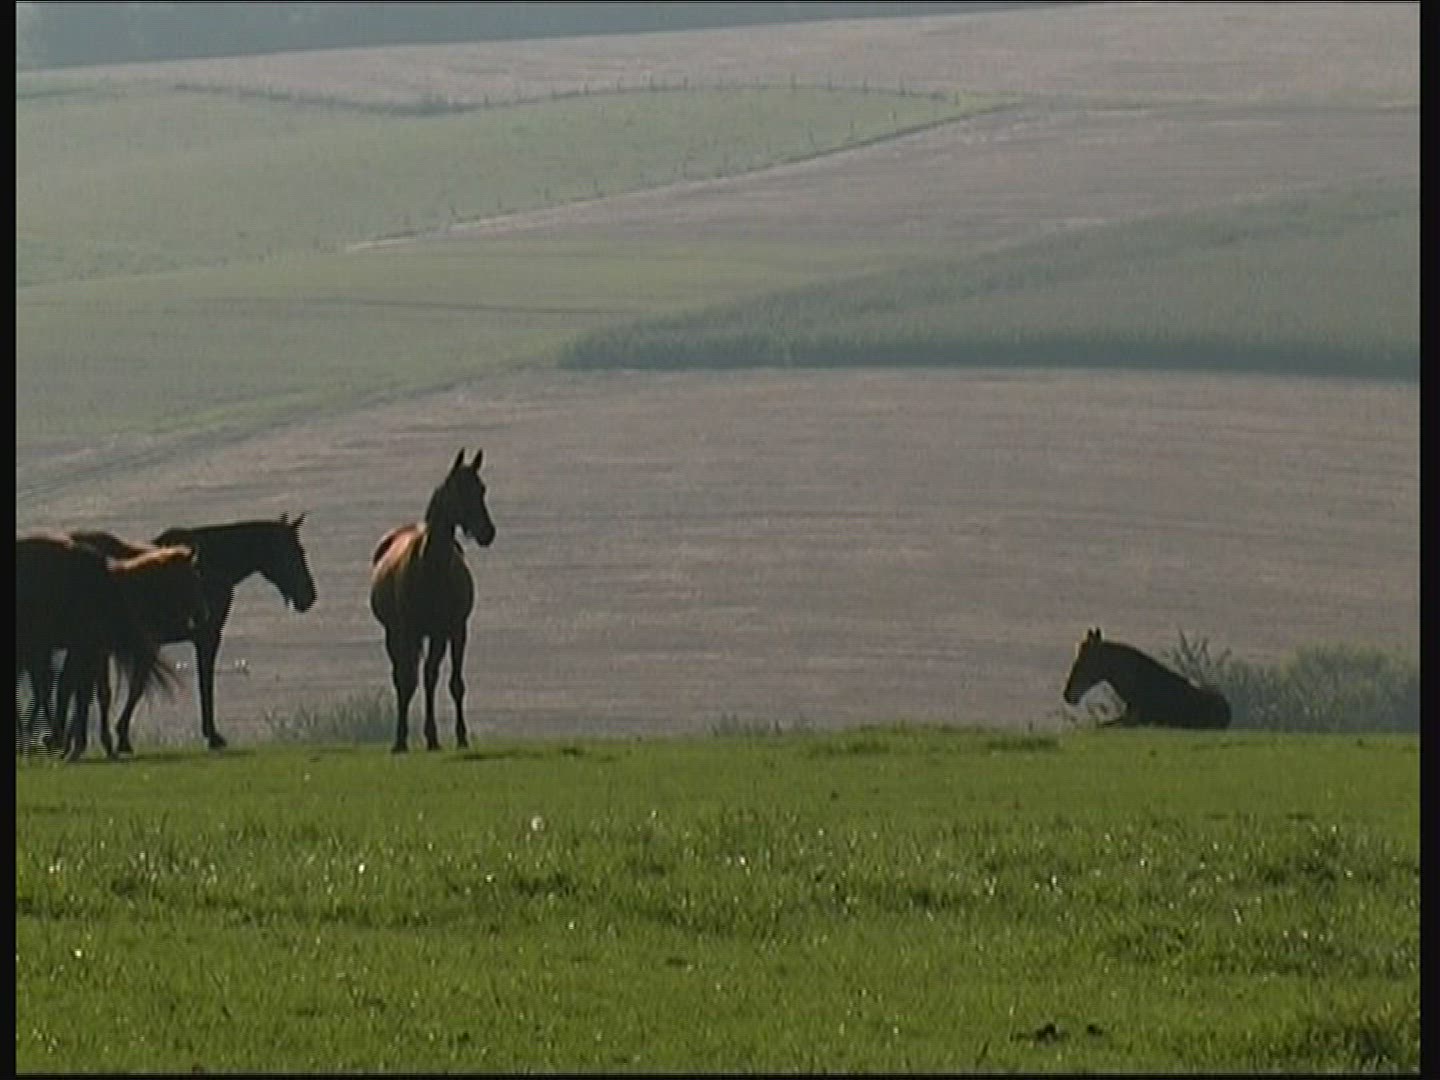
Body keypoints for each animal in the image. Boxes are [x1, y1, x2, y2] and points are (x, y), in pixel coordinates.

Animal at [16, 532, 208, 760]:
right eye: (193, 579)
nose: (203, 615)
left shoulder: (95, 650)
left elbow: (90, 694)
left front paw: (83, 743)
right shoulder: (85, 647)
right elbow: (73, 690)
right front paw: (68, 742)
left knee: (41, 688)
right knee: (42, 688)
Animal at [46, 516, 317, 754]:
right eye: (296, 552)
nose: (309, 597)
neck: (209, 567)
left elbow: (127, 687)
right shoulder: (205, 637)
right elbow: (202, 683)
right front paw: (212, 736)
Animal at [370, 449, 495, 753]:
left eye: (482, 488)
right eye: (458, 488)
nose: (487, 532)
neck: (431, 570)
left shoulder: (452, 630)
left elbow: (449, 682)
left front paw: (455, 737)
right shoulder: (409, 631)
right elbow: (407, 680)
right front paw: (401, 740)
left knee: (427, 677)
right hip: (394, 633)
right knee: (402, 677)